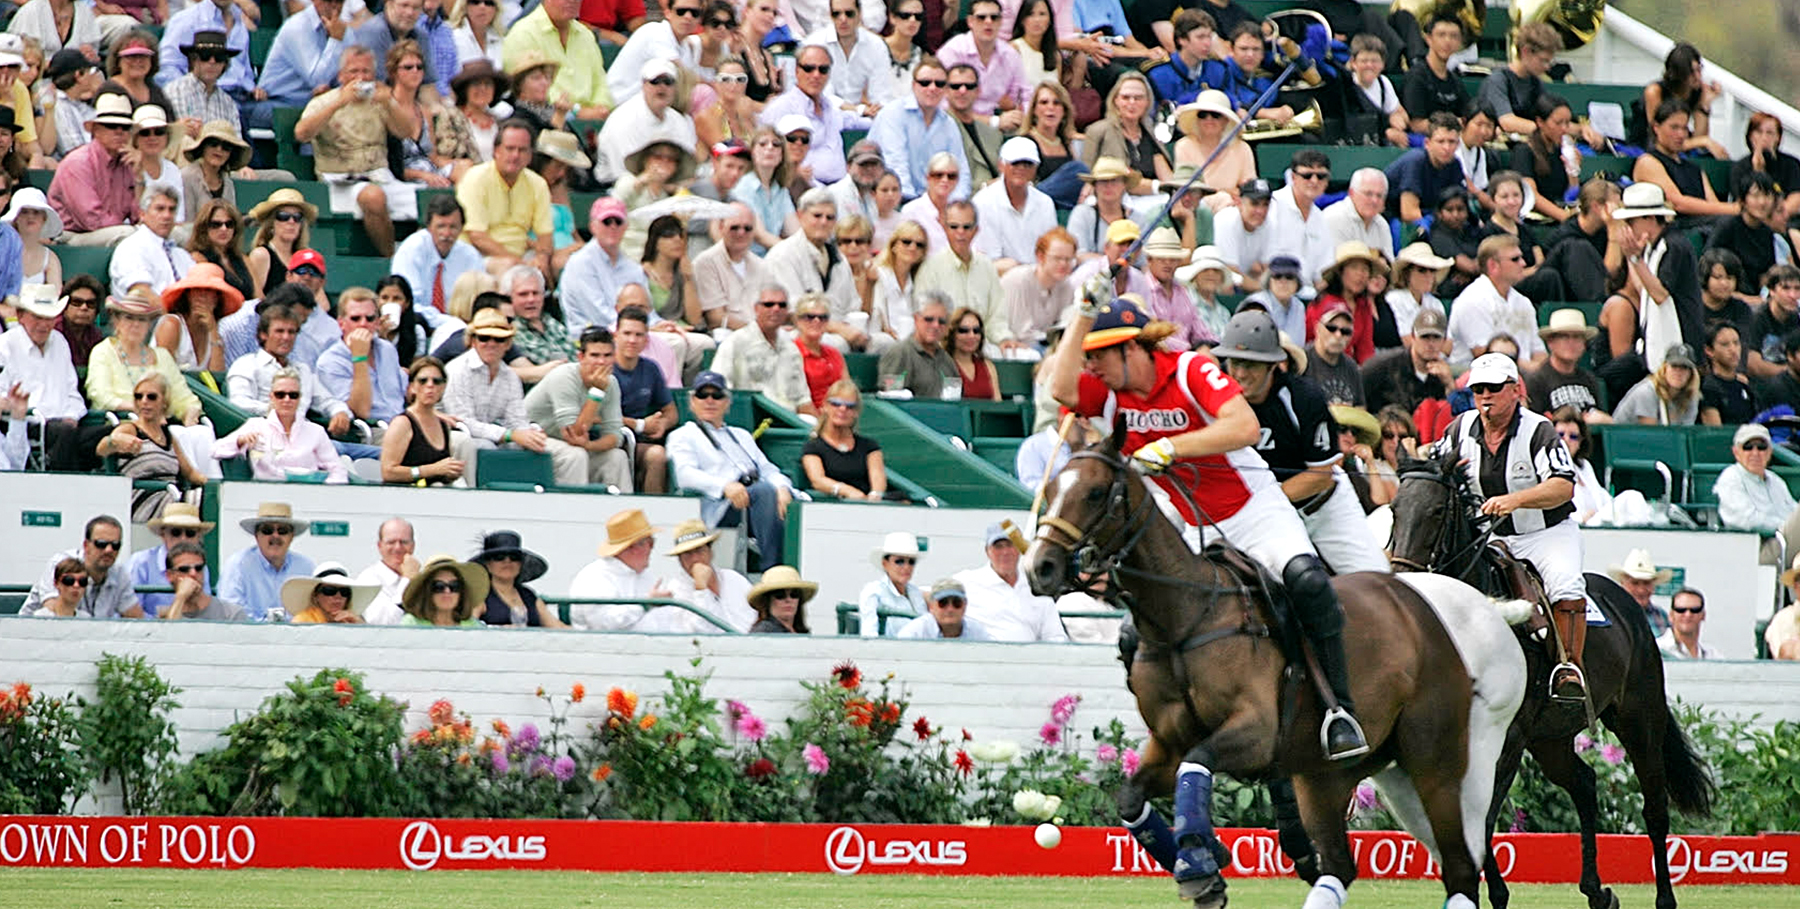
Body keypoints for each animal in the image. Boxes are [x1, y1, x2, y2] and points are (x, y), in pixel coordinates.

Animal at [1029, 430, 1519, 907]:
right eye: (1049, 490)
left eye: (1095, 493)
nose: (1040, 567)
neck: (1185, 617)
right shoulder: (1167, 743)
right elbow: (1134, 797)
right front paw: (1205, 865)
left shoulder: (1257, 731)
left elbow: (1197, 762)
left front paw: (1200, 858)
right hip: (1334, 775)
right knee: (1344, 865)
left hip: (1438, 760)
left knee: (1461, 864)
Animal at [1389, 457, 1713, 907]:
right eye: (1394, 510)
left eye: (1437, 511)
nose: (1401, 580)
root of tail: (1630, 604)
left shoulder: (1509, 738)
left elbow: (1483, 817)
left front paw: (1492, 893)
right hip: (1551, 737)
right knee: (1584, 782)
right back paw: (1597, 891)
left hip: (1639, 719)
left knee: (1654, 807)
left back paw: (1663, 897)